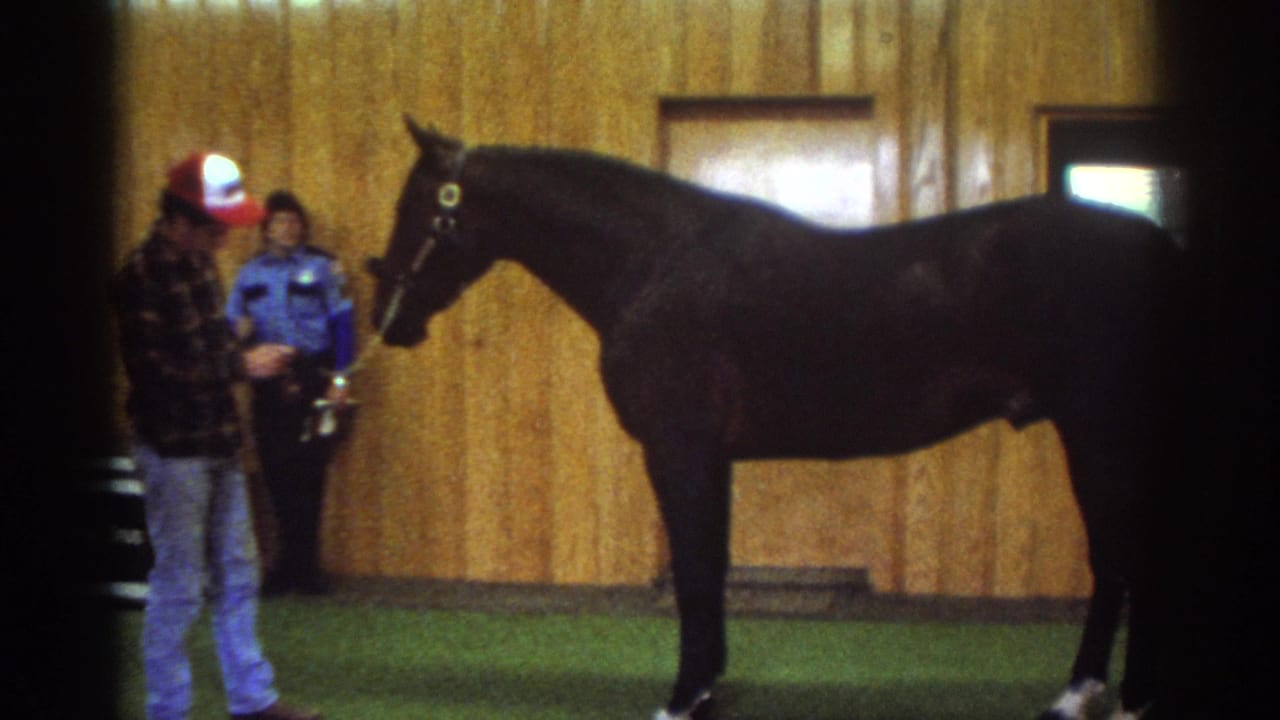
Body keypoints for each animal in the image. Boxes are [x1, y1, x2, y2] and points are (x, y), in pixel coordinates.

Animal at [367, 118, 1187, 720]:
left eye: (415, 207)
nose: (387, 318)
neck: (652, 263)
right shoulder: (708, 456)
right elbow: (712, 566)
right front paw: (707, 685)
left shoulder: (679, 448)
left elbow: (696, 571)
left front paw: (682, 698)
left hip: (1100, 434)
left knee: (1125, 559)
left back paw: (1117, 699)